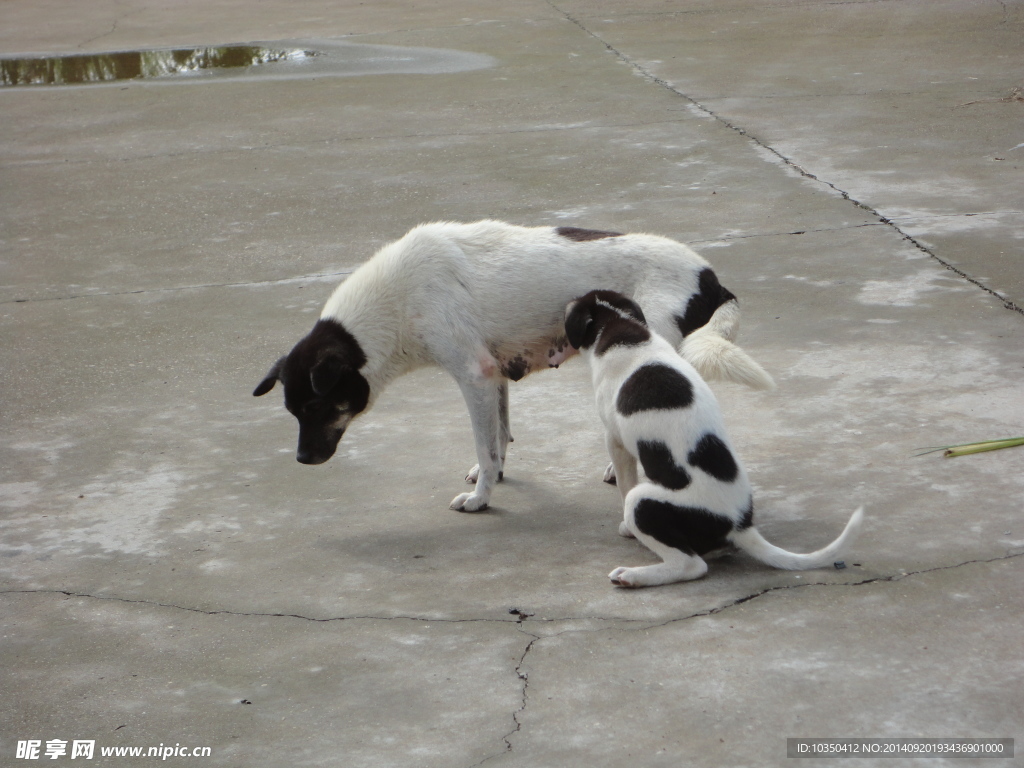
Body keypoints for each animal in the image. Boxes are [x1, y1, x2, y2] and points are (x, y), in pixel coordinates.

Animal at [256, 219, 774, 514]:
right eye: (293, 412)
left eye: (316, 408)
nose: (301, 460)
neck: (396, 302)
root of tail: (710, 279)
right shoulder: (497, 374)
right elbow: (499, 437)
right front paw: (495, 474)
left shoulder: (474, 376)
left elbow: (486, 447)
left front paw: (482, 499)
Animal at [569, 290, 864, 589]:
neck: (617, 324)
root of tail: (739, 526)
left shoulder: (615, 440)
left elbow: (624, 483)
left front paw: (625, 528)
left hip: (643, 502)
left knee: (690, 564)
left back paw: (633, 575)